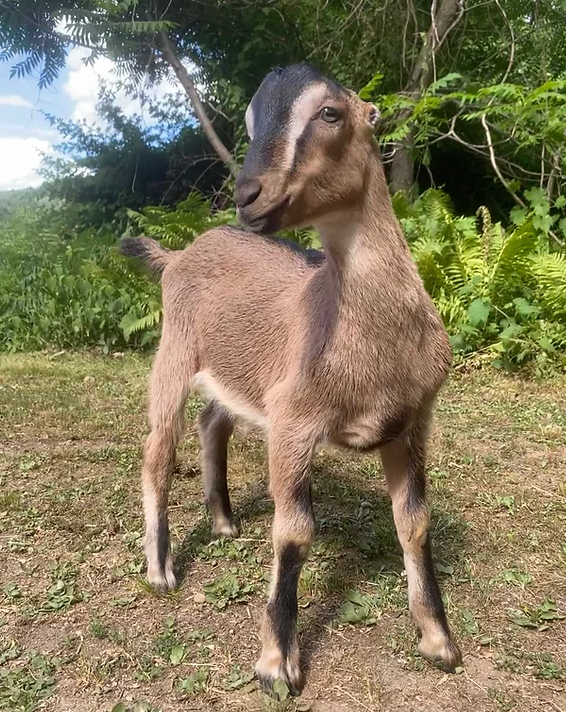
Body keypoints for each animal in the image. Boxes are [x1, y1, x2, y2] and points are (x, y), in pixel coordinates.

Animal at [122, 64, 464, 692]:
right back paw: (160, 569)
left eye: (330, 113)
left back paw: (224, 521)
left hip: (235, 374)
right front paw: (278, 663)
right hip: (174, 352)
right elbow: (294, 533)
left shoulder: (413, 420)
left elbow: (415, 522)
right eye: (251, 120)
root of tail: (178, 254)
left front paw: (438, 641)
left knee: (213, 422)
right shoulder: (293, 421)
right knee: (158, 449)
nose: (247, 196)